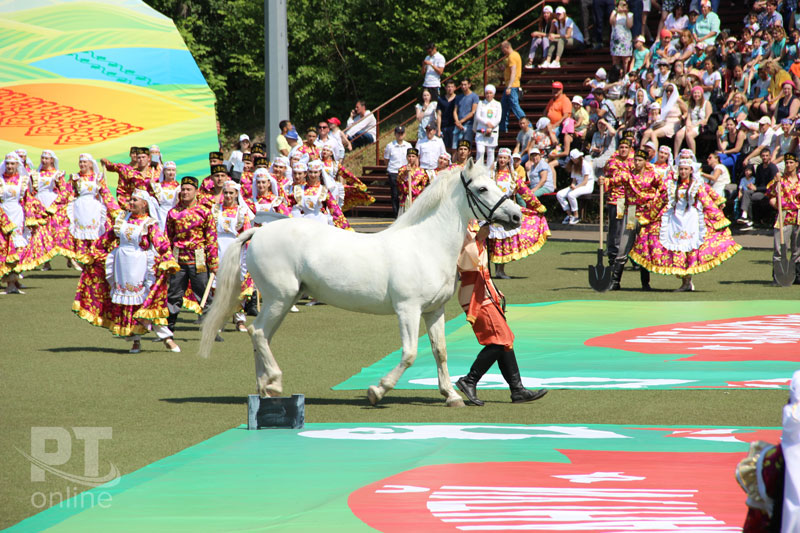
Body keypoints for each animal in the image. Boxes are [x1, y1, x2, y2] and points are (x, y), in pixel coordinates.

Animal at [199, 160, 520, 406]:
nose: (516, 215)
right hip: (280, 298)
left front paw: (451, 395)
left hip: (282, 301)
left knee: (261, 336)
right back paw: (275, 384)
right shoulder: (408, 310)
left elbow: (439, 350)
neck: (426, 244)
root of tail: (258, 231)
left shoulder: (433, 311)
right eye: (482, 189)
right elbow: (409, 353)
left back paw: (264, 391)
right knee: (259, 334)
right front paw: (377, 391)